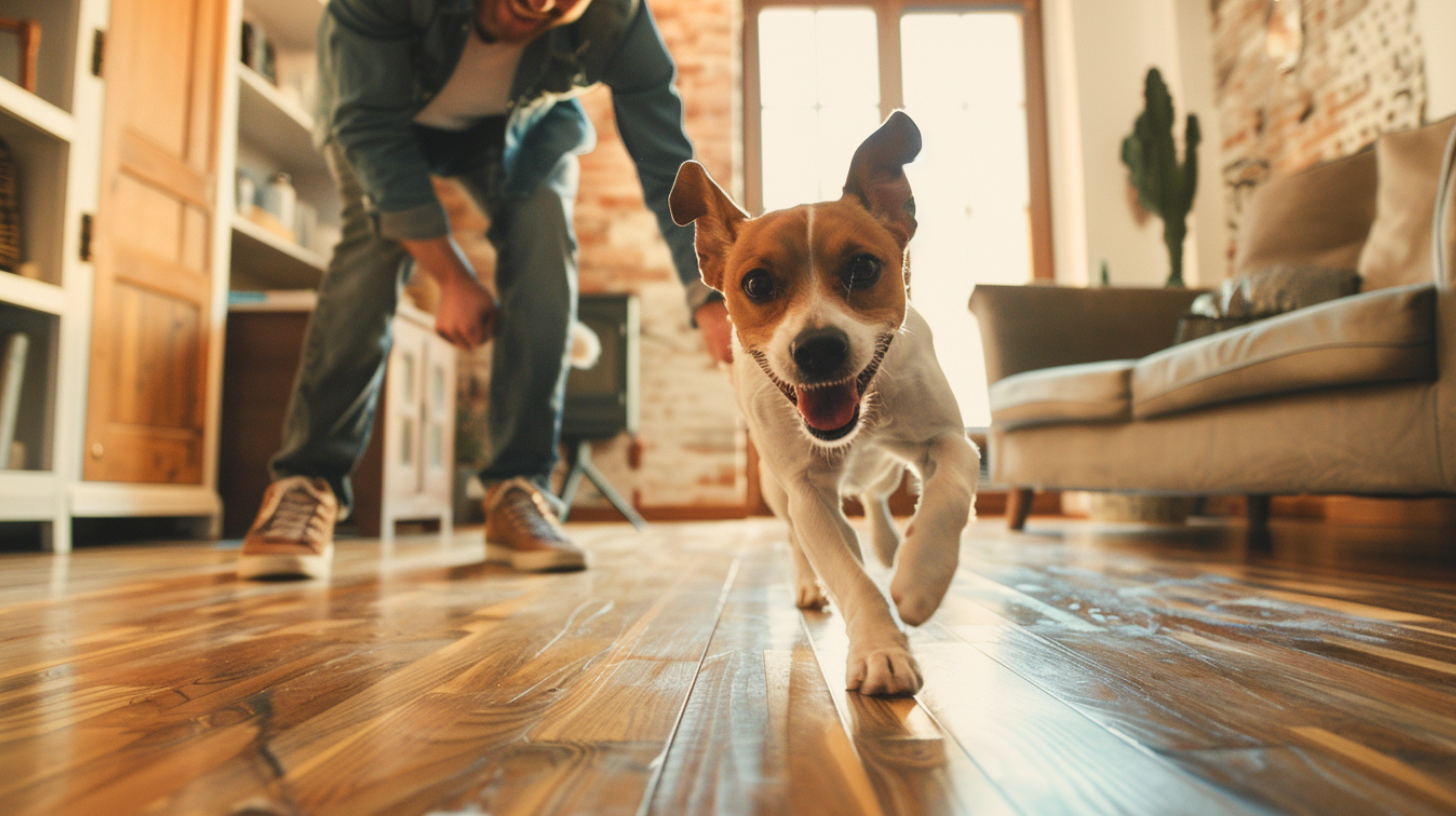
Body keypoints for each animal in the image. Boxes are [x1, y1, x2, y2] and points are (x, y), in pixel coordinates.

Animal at [669, 110, 978, 693]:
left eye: (863, 268)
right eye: (756, 283)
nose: (817, 348)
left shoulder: (948, 440)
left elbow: (948, 493)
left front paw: (921, 579)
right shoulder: (807, 491)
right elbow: (847, 573)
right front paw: (880, 648)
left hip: (885, 469)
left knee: (876, 498)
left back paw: (890, 547)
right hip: (776, 489)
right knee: (801, 540)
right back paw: (814, 585)